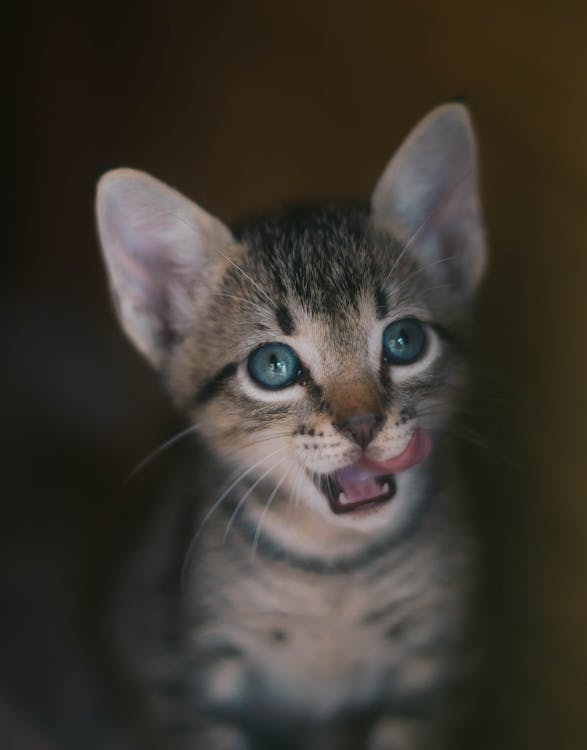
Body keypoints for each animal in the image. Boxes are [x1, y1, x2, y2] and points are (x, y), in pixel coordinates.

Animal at [97, 103, 486, 748]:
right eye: (274, 365)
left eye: (404, 341)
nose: (363, 424)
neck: (334, 572)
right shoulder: (199, 673)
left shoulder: (431, 672)